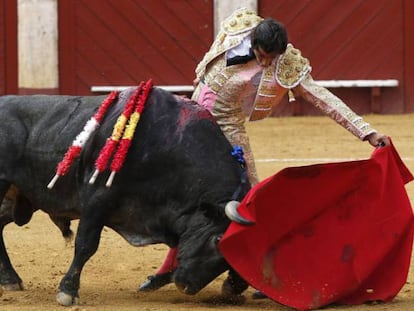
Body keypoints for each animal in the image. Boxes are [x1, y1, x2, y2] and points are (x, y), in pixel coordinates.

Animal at [0, 87, 251, 308]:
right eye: (217, 239)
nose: (187, 286)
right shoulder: (97, 199)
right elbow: (86, 245)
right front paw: (67, 291)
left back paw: (11, 280)